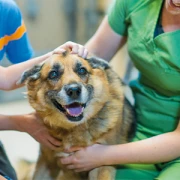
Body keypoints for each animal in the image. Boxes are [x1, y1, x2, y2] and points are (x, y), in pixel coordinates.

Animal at [19, 50, 135, 180]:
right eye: (53, 74)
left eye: (82, 70)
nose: (74, 90)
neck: (73, 128)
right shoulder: (47, 161)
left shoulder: (100, 165)